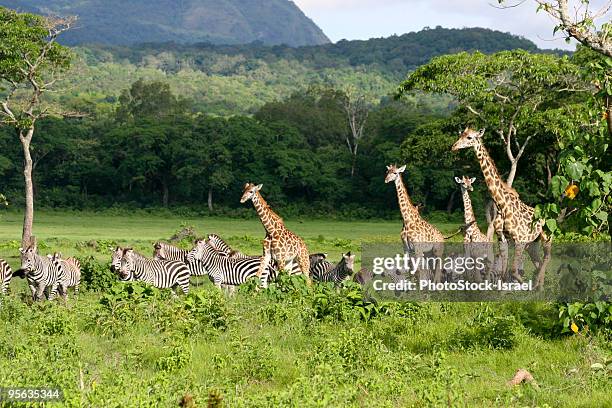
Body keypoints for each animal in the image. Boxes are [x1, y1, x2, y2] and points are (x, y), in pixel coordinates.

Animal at [452, 129, 552, 288]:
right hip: (533, 243)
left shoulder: (519, 239)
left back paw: (537, 284)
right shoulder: (502, 237)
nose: (454, 147)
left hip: (546, 237)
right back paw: (539, 286)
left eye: (469, 137)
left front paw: (523, 286)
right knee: (538, 262)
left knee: (547, 258)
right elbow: (504, 271)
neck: (502, 204)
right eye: (461, 135)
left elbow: (513, 271)